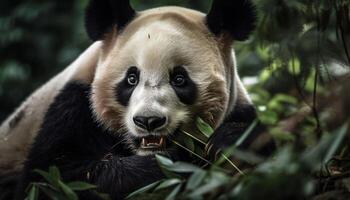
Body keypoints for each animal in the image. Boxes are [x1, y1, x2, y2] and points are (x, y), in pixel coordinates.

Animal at [0, 0, 258, 199]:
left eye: (179, 79)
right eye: (131, 78)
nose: (148, 121)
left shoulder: (238, 107)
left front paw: (230, 140)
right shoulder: (72, 107)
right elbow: (51, 178)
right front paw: (166, 167)